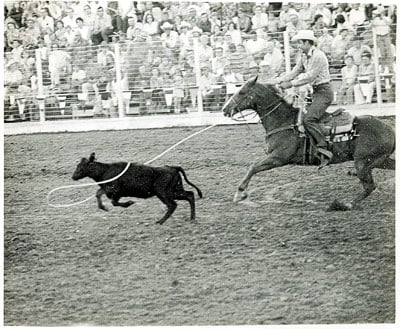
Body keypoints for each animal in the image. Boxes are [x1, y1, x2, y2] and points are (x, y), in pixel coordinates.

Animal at [72, 152, 203, 224]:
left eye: (81, 167)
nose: (73, 176)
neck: (105, 171)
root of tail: (172, 167)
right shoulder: (117, 194)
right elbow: (113, 201)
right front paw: (128, 203)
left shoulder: (113, 189)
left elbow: (99, 193)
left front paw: (105, 207)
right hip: (175, 190)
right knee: (190, 195)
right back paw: (192, 218)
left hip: (163, 193)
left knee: (172, 205)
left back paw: (160, 221)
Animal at [220, 76, 396, 210]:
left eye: (241, 91)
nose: (224, 109)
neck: (284, 121)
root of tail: (390, 130)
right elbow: (254, 167)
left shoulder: (278, 158)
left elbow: (253, 167)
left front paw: (240, 193)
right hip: (379, 160)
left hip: (362, 162)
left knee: (369, 186)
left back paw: (345, 204)